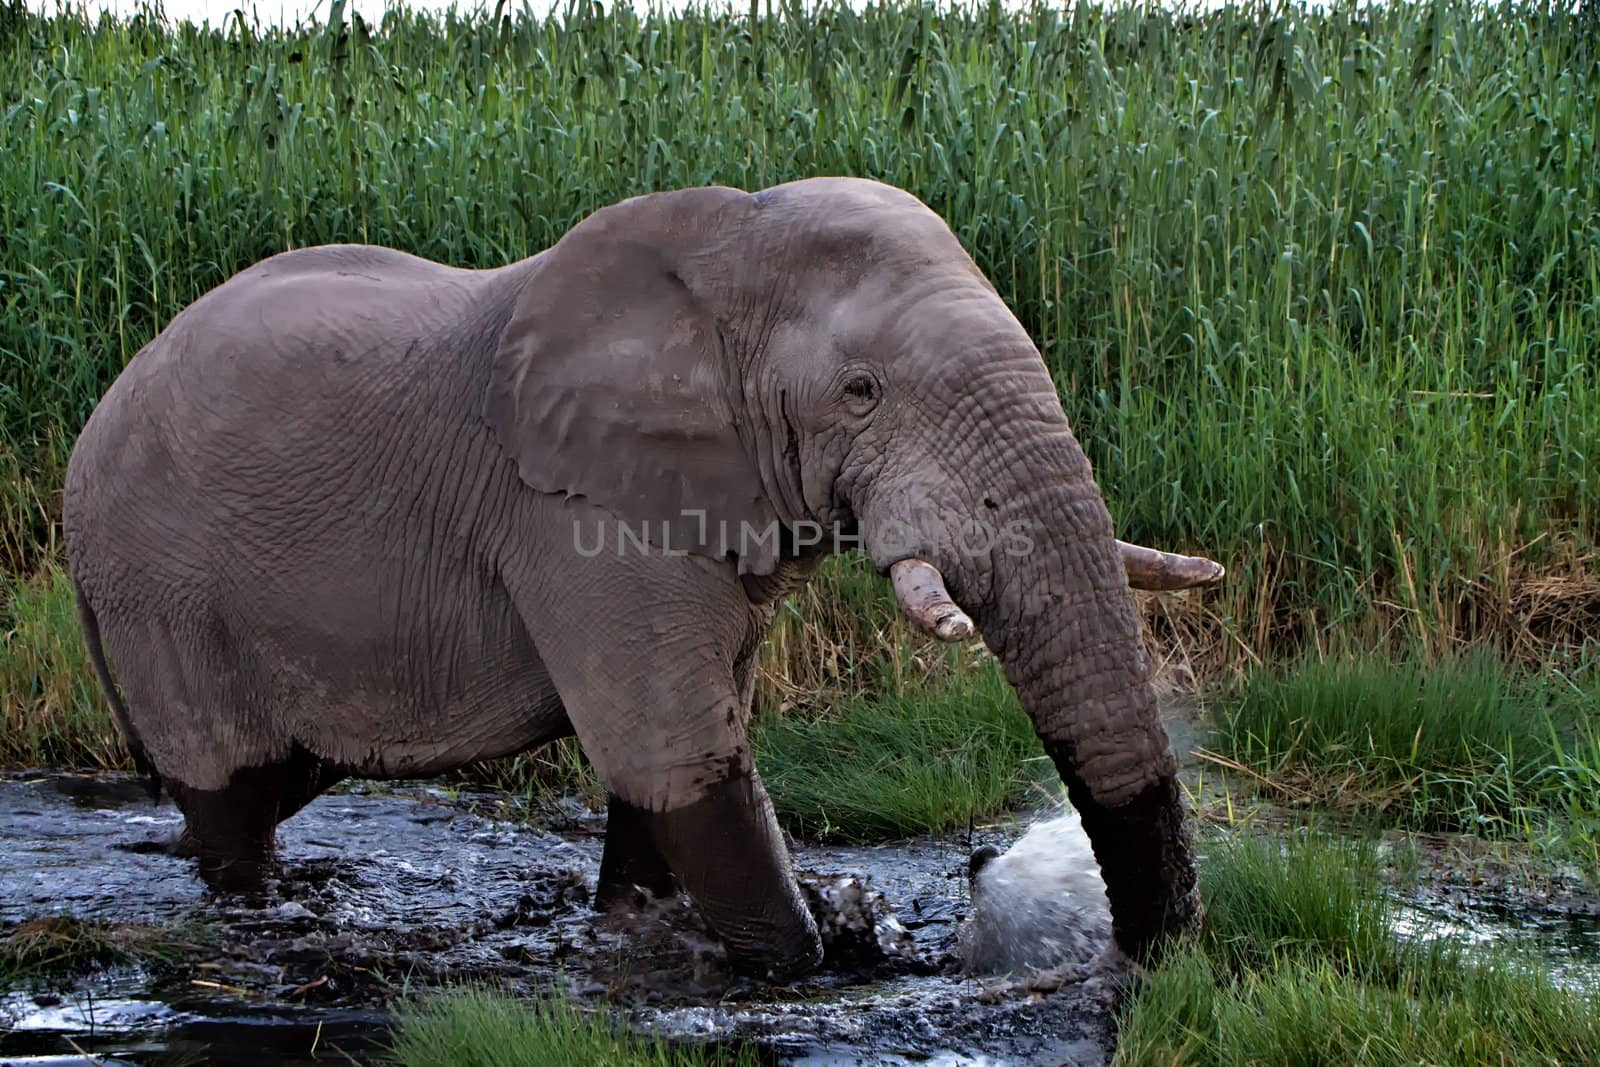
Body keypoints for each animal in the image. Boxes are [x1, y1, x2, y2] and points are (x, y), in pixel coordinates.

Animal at [59, 177, 1222, 985]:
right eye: (861, 391)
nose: (1129, 958)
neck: (727, 248)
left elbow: (673, 759)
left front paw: (640, 935)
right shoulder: (574, 515)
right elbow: (675, 756)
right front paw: (808, 966)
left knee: (277, 776)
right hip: (159, 583)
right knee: (230, 796)